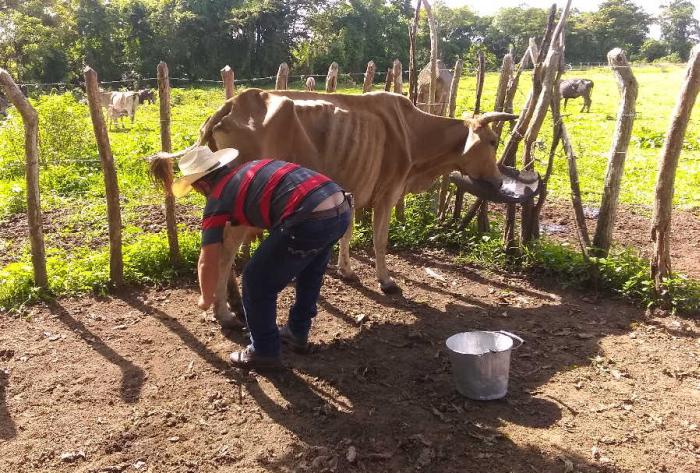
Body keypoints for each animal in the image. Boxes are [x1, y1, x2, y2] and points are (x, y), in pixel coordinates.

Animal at [148, 88, 520, 324]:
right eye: (492, 141)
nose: (499, 182)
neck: (413, 135)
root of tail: (232, 103)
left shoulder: (350, 188)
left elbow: (348, 233)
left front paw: (347, 270)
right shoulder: (388, 192)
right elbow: (379, 240)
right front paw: (386, 281)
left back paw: (233, 304)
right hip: (242, 208)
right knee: (224, 252)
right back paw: (224, 313)